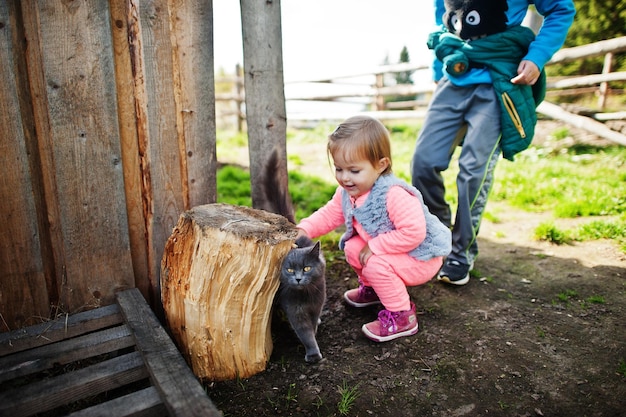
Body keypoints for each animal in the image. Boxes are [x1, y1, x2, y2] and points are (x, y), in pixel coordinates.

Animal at [258, 149, 326, 360]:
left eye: (306, 268)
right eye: (288, 270)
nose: (297, 278)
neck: (306, 296)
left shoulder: (316, 305)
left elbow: (312, 326)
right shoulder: (295, 311)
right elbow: (305, 333)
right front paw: (313, 354)